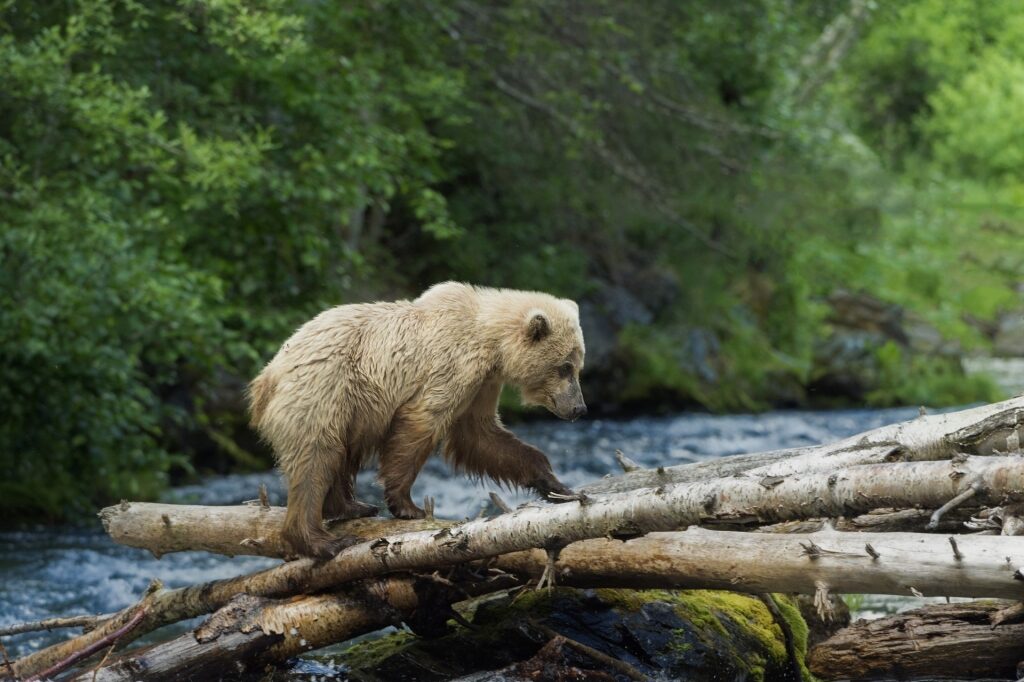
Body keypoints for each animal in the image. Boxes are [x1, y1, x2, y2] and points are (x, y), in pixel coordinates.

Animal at [244, 278, 589, 557]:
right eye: (565, 367)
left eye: (578, 366)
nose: (579, 408)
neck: (491, 342)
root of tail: (267, 376)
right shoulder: (453, 366)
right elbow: (422, 423)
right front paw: (408, 506)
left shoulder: (482, 385)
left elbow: (481, 436)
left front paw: (559, 486)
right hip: (324, 391)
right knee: (315, 458)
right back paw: (321, 540)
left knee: (339, 454)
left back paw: (352, 506)